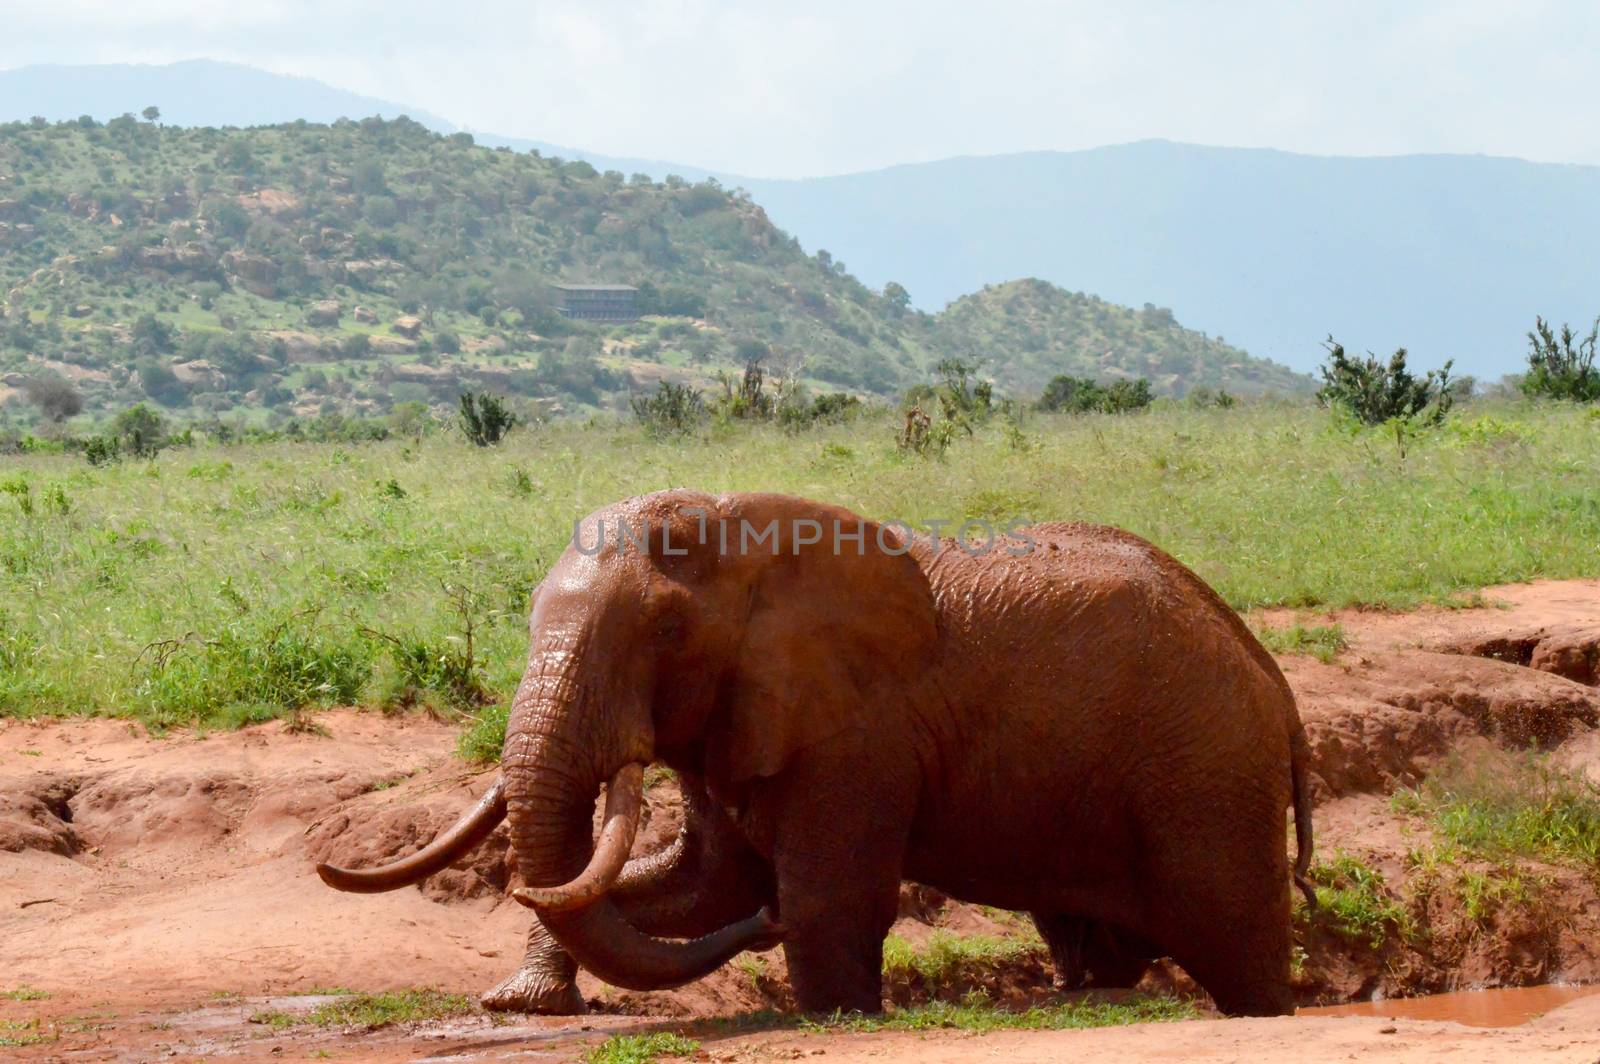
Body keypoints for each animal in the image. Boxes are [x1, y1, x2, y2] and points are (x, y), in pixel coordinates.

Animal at [315, 489, 1312, 1011]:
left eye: (667, 633)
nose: (767, 930)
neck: (739, 529)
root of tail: (1277, 686)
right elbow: (703, 885)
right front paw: (521, 1002)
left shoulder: (854, 733)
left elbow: (828, 895)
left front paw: (831, 1002)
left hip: (1207, 772)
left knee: (1237, 940)